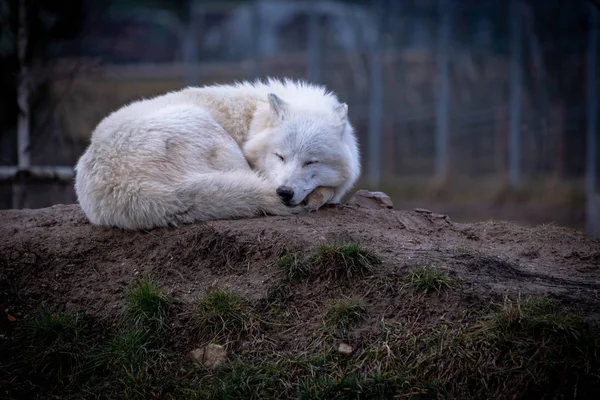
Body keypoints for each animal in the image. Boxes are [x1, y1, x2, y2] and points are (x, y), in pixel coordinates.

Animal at [72, 77, 358, 231]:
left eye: (311, 162)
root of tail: (125, 186)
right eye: (280, 156)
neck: (252, 118)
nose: (284, 192)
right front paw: (318, 197)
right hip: (211, 133)